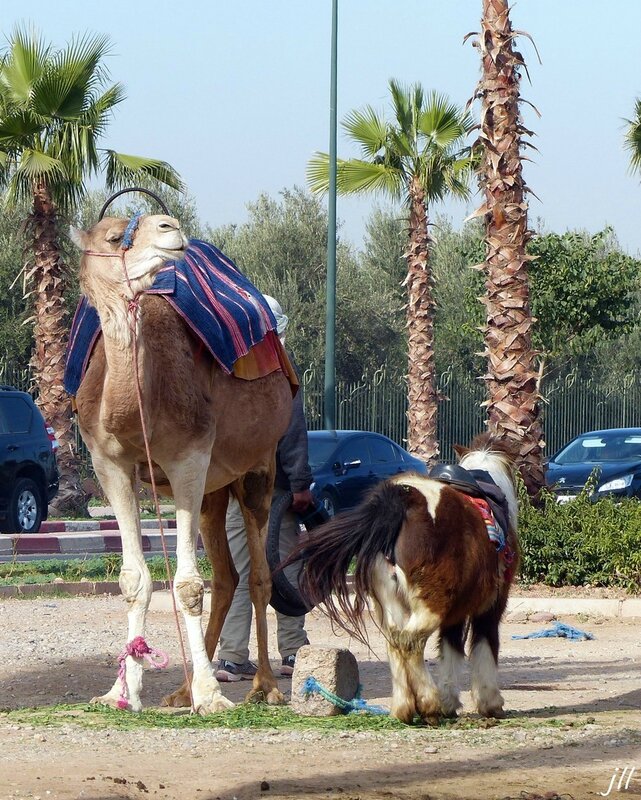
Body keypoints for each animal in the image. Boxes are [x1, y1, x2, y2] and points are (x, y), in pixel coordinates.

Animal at [69, 212, 292, 712]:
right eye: (116, 236)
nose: (170, 227)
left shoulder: (189, 456)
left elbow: (188, 585)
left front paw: (211, 697)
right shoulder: (108, 463)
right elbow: (134, 578)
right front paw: (121, 692)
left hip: (258, 469)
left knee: (259, 578)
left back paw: (264, 687)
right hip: (214, 490)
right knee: (227, 577)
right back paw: (181, 690)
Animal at [298, 434, 516, 720]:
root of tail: (401, 502)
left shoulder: (455, 615)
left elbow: (451, 651)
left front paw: (450, 701)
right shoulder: (491, 607)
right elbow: (485, 648)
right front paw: (489, 703)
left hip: (393, 602)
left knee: (395, 642)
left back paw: (404, 707)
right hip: (431, 603)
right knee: (410, 642)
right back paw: (428, 703)